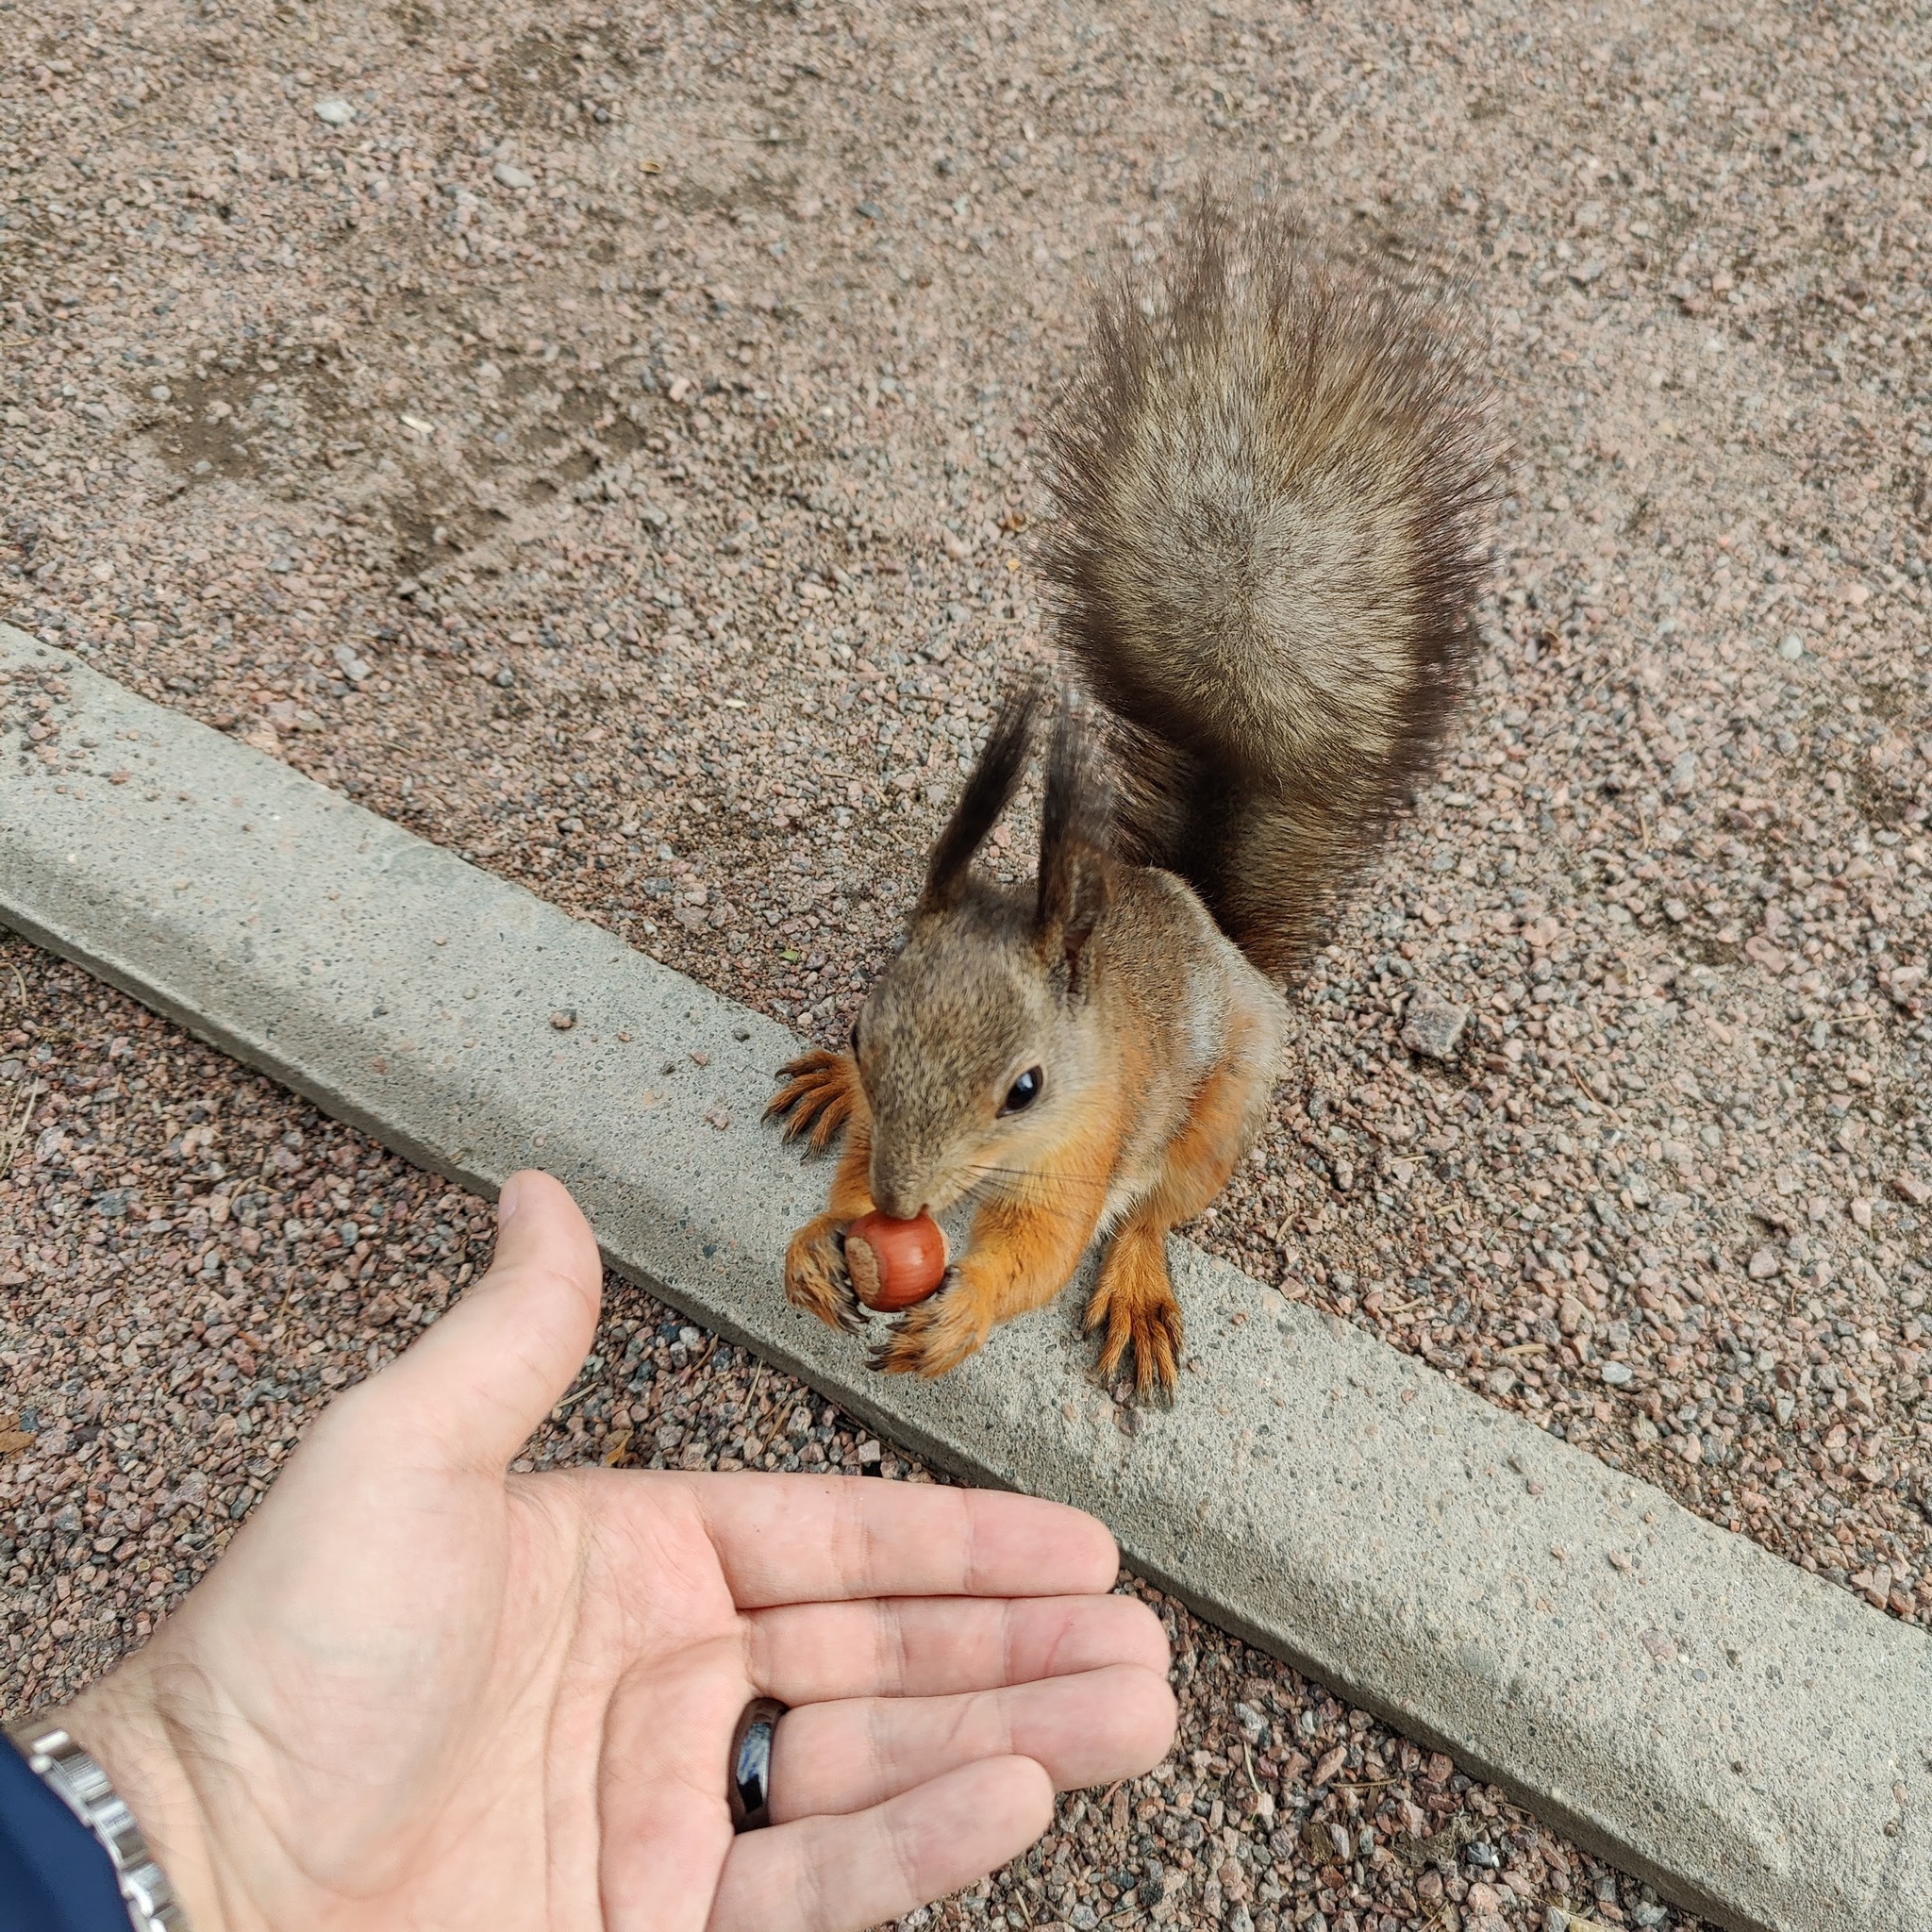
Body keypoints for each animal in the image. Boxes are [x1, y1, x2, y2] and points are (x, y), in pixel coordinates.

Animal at [765, 199, 1491, 1391]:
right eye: (868, 1025)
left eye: (1026, 1087)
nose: (901, 1203)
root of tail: (1209, 922)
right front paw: (815, 1245)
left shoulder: (1085, 1144)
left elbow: (1046, 1247)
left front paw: (962, 1314)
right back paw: (824, 1089)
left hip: (1217, 1117)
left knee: (1155, 1210)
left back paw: (1141, 1282)